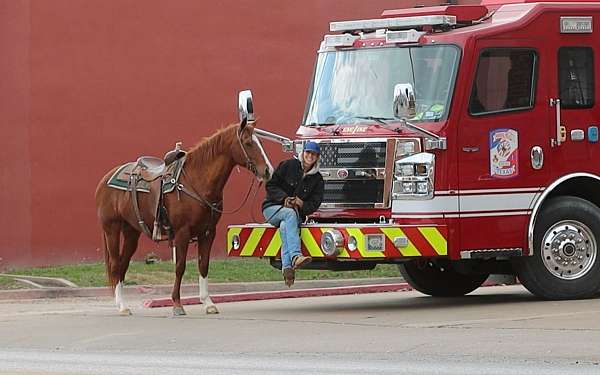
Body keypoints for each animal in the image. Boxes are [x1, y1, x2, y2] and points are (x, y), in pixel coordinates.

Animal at [95, 122, 274, 316]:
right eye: (248, 143)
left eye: (261, 142)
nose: (268, 171)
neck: (197, 182)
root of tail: (106, 179)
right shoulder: (182, 233)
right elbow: (180, 267)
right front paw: (177, 304)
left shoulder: (208, 233)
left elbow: (204, 265)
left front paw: (208, 303)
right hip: (112, 228)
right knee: (115, 264)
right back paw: (122, 306)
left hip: (131, 232)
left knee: (123, 264)